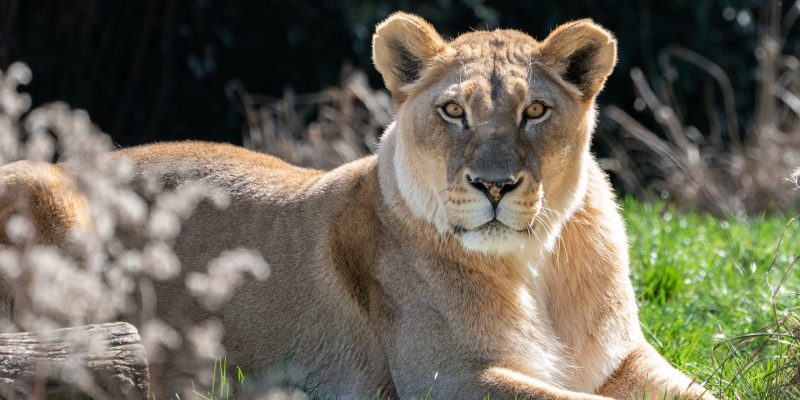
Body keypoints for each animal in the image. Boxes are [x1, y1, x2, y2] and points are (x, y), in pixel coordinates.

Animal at [0, 12, 716, 400]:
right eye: (453, 111)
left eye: (534, 111)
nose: (495, 186)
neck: (532, 262)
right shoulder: (448, 377)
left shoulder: (626, 361)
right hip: (38, 183)